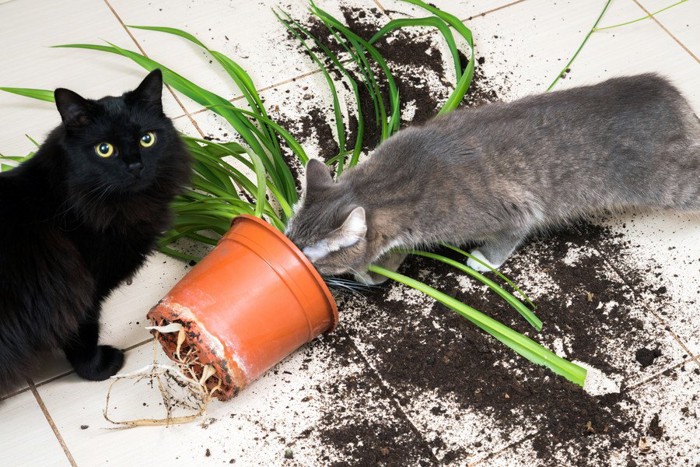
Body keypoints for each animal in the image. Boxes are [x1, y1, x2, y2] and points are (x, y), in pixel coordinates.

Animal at [0, 68, 191, 392]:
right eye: (104, 149)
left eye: (147, 139)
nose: (135, 165)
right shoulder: (83, 293)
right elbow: (83, 338)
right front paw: (100, 368)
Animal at [284, 74, 700, 284]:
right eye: (289, 237)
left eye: (310, 256)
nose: (292, 256)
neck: (384, 184)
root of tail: (676, 99)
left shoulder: (516, 209)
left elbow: (509, 236)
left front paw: (484, 260)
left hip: (669, 184)